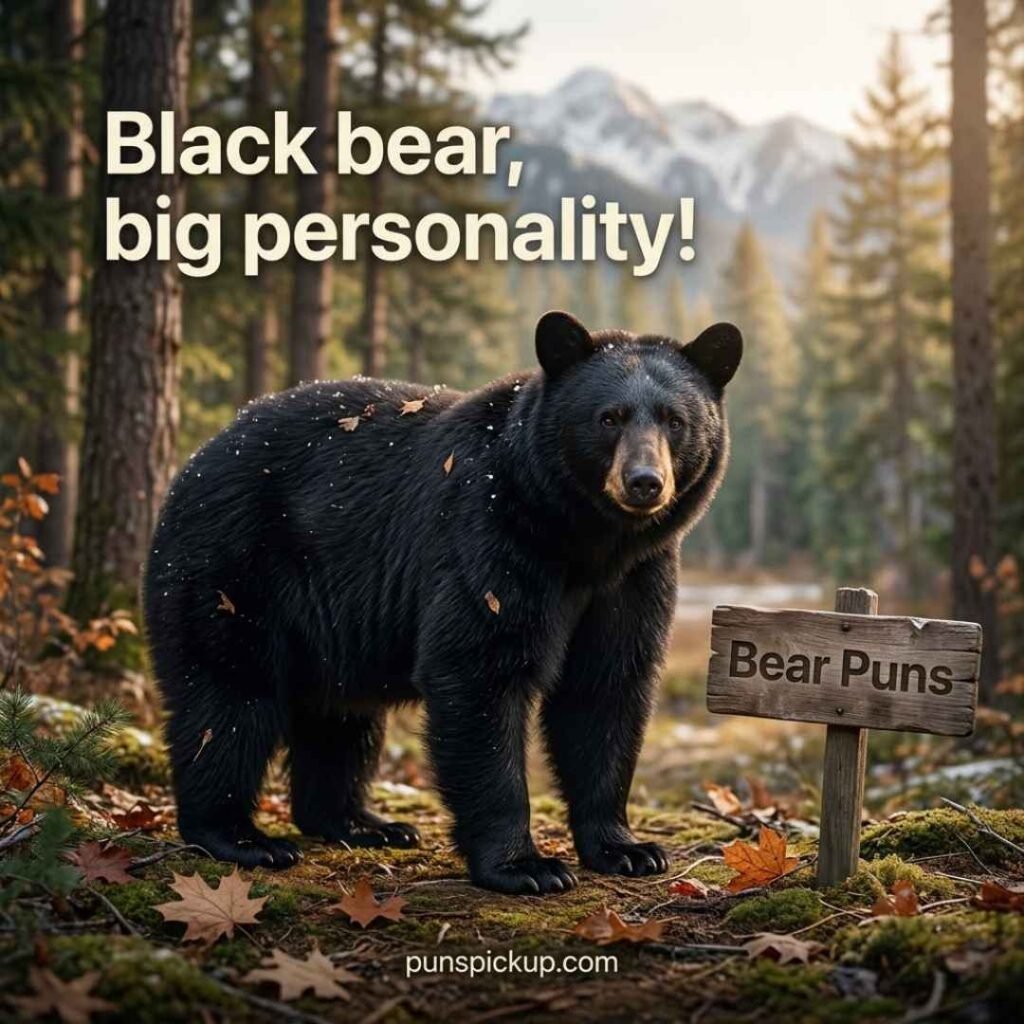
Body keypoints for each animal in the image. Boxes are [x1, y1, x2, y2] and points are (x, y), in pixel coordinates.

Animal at [143, 311, 742, 895]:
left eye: (674, 420)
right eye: (608, 418)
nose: (644, 482)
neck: (584, 540)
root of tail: (194, 462)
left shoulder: (635, 578)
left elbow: (606, 689)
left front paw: (627, 849)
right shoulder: (488, 535)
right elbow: (480, 671)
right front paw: (524, 865)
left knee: (341, 719)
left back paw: (363, 824)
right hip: (233, 566)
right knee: (229, 697)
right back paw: (240, 836)